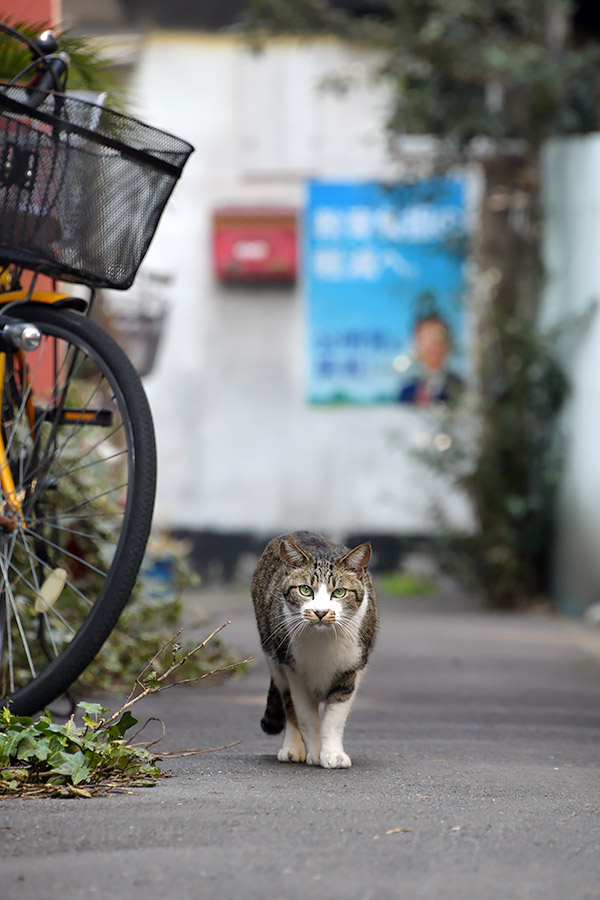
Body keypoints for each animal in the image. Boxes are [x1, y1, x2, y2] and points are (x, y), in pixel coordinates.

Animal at [251, 532, 378, 768]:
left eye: (339, 592)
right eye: (305, 590)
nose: (320, 612)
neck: (323, 642)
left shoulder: (351, 670)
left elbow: (334, 719)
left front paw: (332, 754)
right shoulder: (294, 672)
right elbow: (306, 717)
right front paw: (315, 752)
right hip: (274, 656)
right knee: (288, 704)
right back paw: (292, 748)